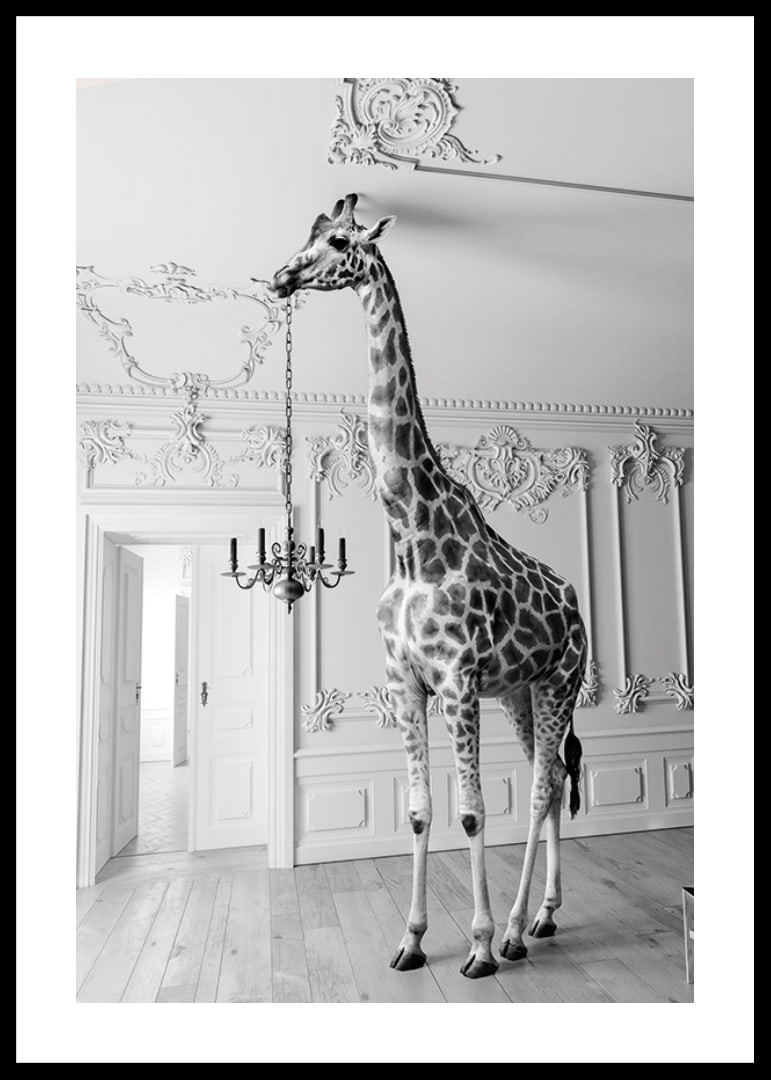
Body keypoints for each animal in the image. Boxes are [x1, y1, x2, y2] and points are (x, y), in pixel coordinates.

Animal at [271, 194, 586, 979]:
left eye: (341, 242)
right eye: (307, 233)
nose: (282, 276)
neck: (412, 538)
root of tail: (577, 605)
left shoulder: (456, 680)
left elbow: (472, 811)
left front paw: (476, 946)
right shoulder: (405, 683)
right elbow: (418, 811)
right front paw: (411, 941)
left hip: (560, 681)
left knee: (541, 789)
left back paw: (512, 932)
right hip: (520, 692)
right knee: (548, 784)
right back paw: (542, 917)